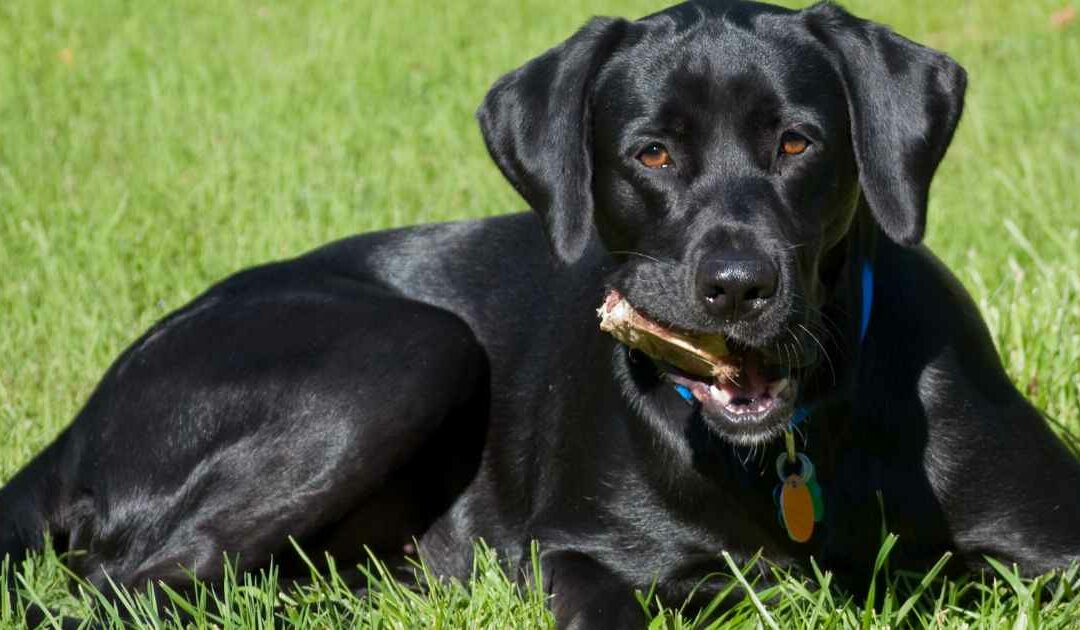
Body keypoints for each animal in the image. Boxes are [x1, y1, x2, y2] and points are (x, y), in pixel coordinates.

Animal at [2, 2, 1080, 626]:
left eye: (796, 142)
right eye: (650, 153)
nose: (737, 285)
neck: (793, 448)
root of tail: (78, 424)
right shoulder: (582, 552)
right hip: (409, 352)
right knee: (119, 593)